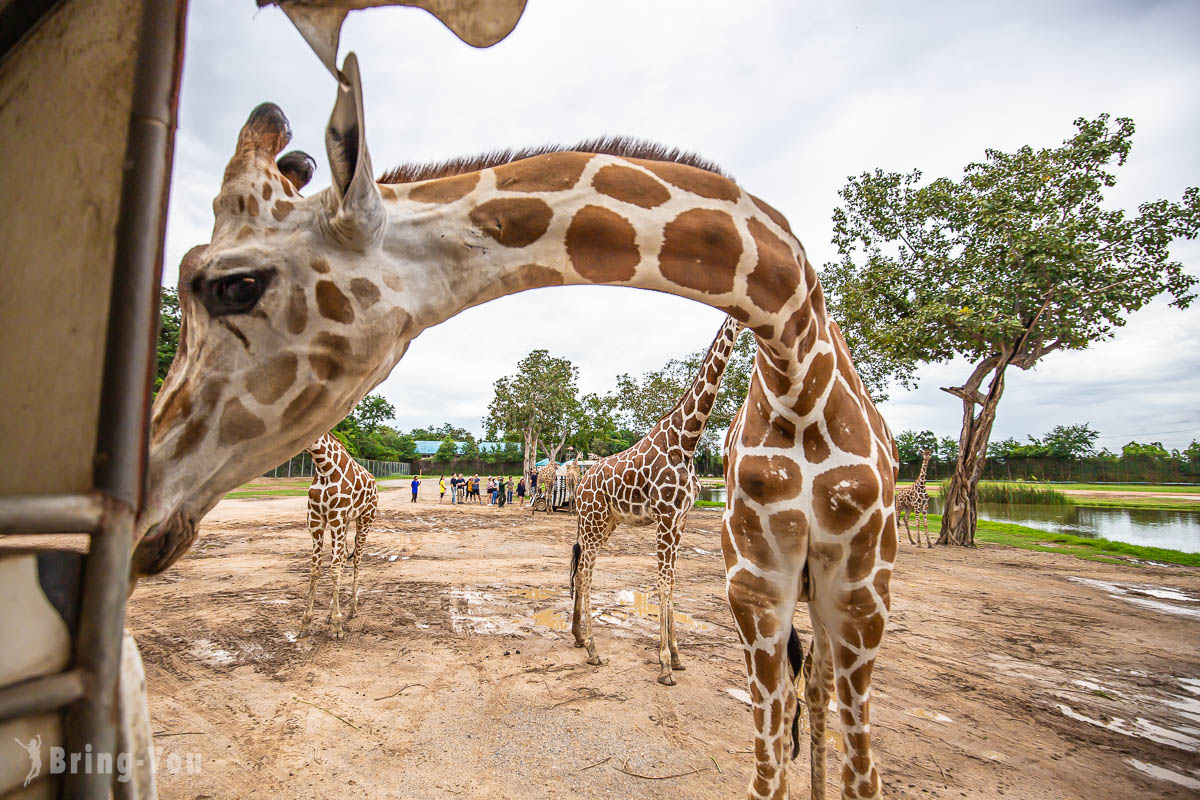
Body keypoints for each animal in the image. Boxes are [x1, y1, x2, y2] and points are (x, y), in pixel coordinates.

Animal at [297, 431, 376, 638]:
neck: (324, 467)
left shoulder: (336, 517)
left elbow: (333, 569)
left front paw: (337, 626)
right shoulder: (316, 520)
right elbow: (316, 569)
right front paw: (305, 622)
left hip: (365, 518)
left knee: (356, 559)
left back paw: (352, 609)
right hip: (346, 523)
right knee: (342, 557)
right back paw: (330, 613)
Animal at [564, 316, 739, 686]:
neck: (687, 441)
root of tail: (581, 481)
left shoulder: (681, 520)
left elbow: (672, 581)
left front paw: (677, 657)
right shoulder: (667, 517)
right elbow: (662, 583)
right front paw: (664, 665)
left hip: (604, 523)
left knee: (582, 567)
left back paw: (580, 637)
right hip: (594, 520)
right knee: (585, 572)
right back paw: (593, 651)